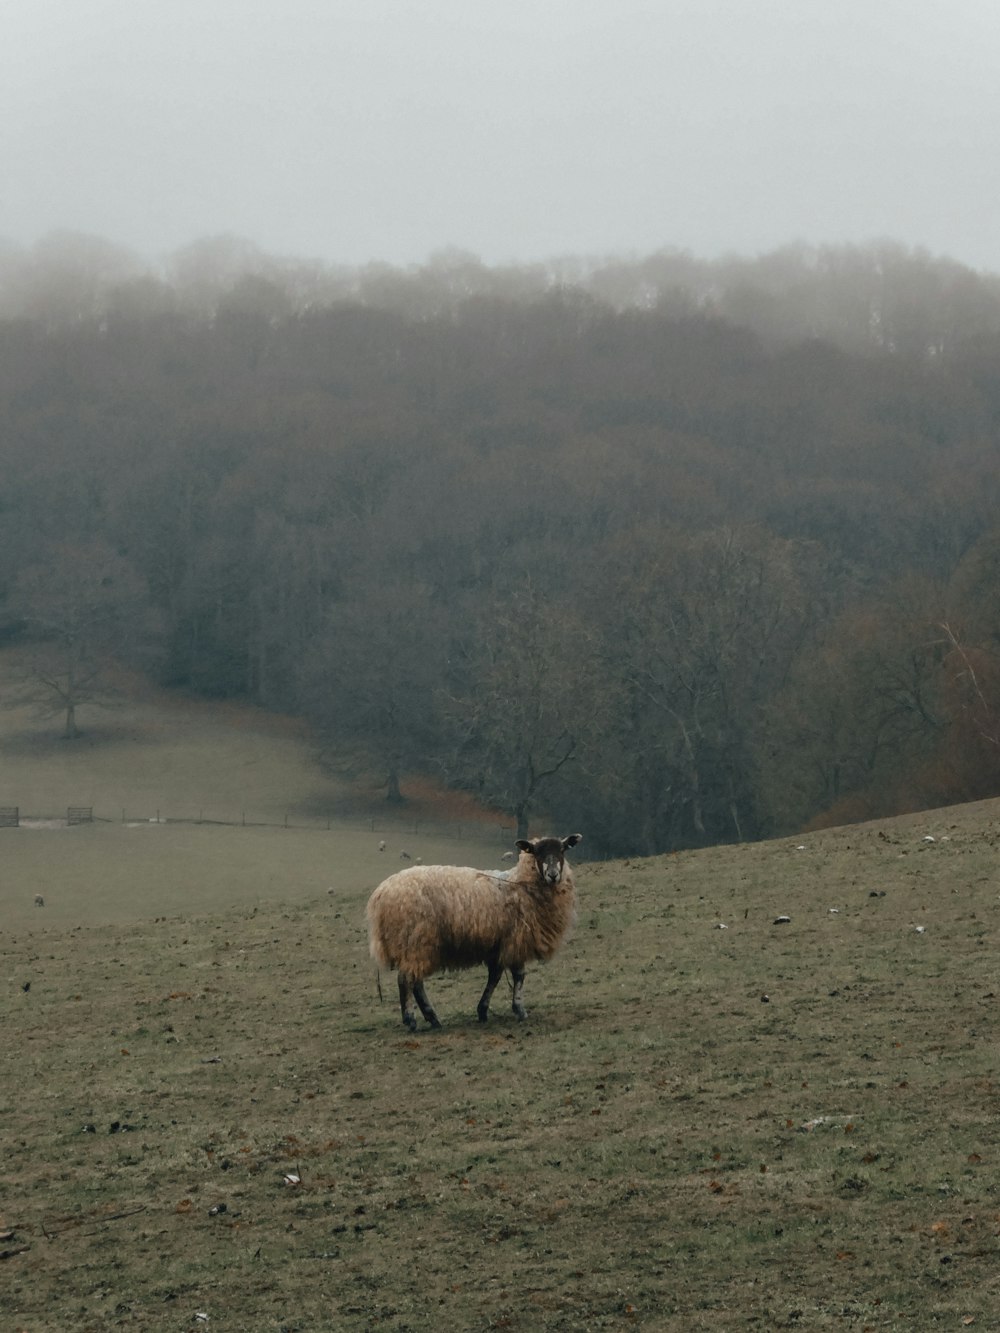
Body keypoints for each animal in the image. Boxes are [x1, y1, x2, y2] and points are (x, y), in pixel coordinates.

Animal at [368, 831, 584, 1029]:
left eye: (562, 850)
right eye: (536, 852)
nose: (553, 875)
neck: (520, 884)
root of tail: (380, 895)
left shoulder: (498, 945)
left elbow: (494, 977)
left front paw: (483, 1010)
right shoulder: (516, 939)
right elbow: (519, 975)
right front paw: (519, 1010)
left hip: (416, 945)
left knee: (415, 981)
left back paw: (433, 1019)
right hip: (415, 941)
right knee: (406, 980)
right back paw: (411, 1020)